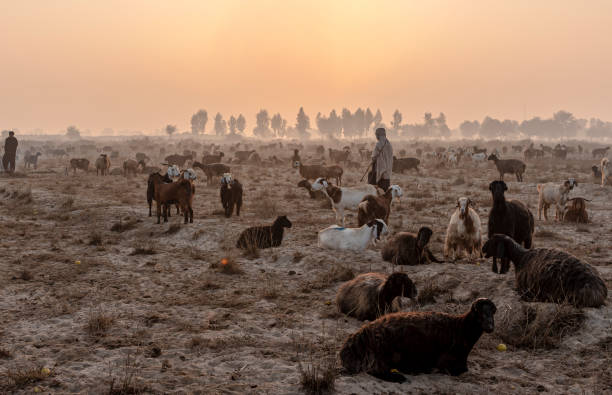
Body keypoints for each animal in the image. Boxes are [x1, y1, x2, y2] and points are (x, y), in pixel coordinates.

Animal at [340, 298, 498, 382]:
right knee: (374, 370)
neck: (460, 329)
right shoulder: (446, 361)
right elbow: (453, 369)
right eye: (479, 312)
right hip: (381, 353)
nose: (490, 327)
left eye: (493, 312)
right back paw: (399, 376)